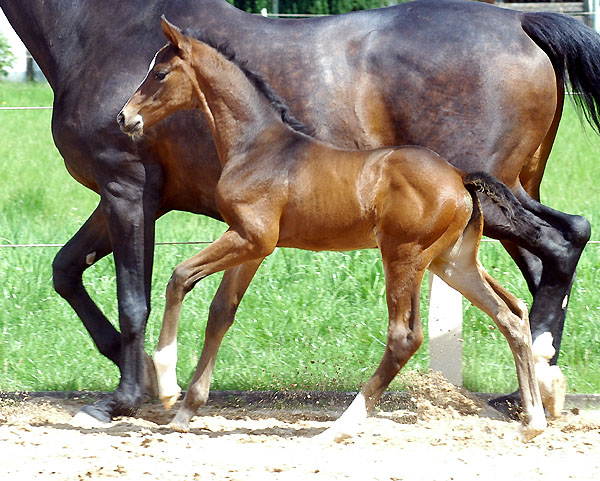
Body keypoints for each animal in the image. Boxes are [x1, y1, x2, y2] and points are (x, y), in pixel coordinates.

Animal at [119, 17, 548, 438]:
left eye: (159, 73)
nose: (124, 117)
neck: (256, 147)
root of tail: (459, 176)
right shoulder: (250, 247)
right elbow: (221, 312)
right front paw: (185, 411)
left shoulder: (250, 238)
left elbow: (179, 277)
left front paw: (168, 387)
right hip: (453, 262)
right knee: (511, 314)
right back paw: (533, 421)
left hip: (403, 257)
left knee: (404, 336)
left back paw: (342, 425)